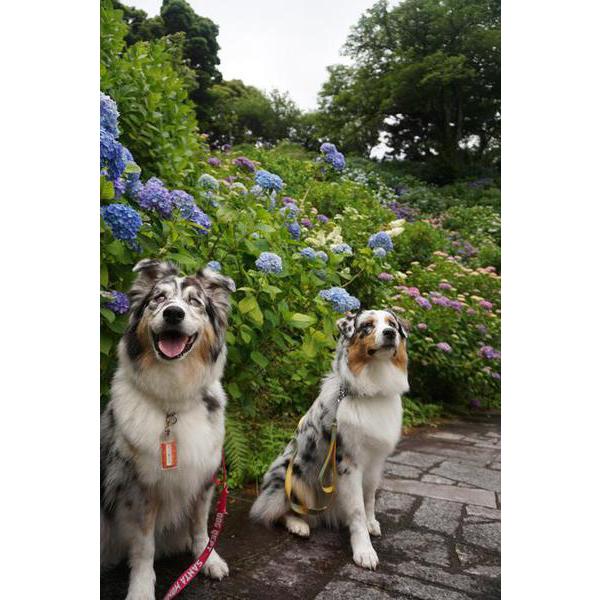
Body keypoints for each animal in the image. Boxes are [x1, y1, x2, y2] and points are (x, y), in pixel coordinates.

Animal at [101, 258, 234, 600]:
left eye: (194, 302)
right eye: (158, 298)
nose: (173, 313)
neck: (172, 401)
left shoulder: (204, 476)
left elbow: (201, 528)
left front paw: (207, 560)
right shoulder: (139, 488)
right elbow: (144, 547)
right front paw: (141, 589)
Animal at [248, 310, 408, 572]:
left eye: (392, 324)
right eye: (367, 326)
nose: (390, 334)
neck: (373, 384)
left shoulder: (375, 461)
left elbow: (369, 497)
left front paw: (372, 522)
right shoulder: (348, 464)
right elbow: (357, 510)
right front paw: (364, 551)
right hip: (292, 476)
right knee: (276, 511)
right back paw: (298, 525)